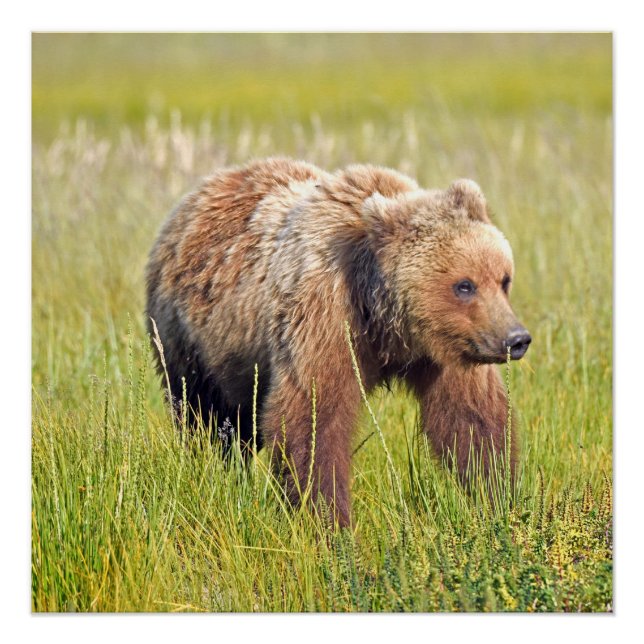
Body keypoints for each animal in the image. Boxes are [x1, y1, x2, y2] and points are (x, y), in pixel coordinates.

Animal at [146, 157, 531, 528]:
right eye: (464, 285)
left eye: (504, 279)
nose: (516, 339)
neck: (386, 319)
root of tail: (199, 194)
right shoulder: (326, 317)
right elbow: (313, 417)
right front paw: (330, 521)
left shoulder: (450, 350)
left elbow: (471, 418)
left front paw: (498, 497)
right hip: (191, 341)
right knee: (204, 418)